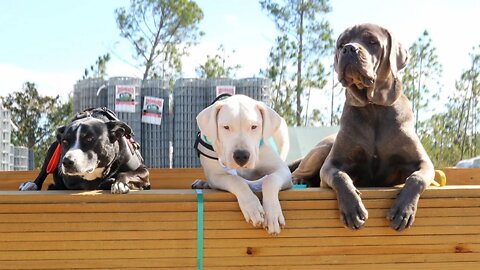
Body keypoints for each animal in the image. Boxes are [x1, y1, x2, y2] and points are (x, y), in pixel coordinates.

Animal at [19, 107, 150, 194]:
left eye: (89, 139)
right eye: (65, 142)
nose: (67, 162)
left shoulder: (143, 171)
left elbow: (128, 173)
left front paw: (120, 183)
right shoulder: (73, 181)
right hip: (52, 149)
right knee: (43, 172)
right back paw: (31, 184)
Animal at [192, 95, 290, 234]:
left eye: (254, 126)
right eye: (226, 127)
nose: (241, 156)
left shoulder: (282, 170)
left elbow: (270, 179)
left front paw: (273, 214)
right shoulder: (215, 176)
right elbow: (235, 180)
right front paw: (252, 207)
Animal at [292, 23, 436, 231]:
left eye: (372, 41)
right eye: (341, 44)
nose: (349, 49)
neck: (373, 106)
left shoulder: (423, 162)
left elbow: (417, 178)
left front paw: (403, 210)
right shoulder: (331, 164)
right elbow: (340, 176)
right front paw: (353, 210)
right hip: (322, 149)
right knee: (297, 171)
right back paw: (300, 179)